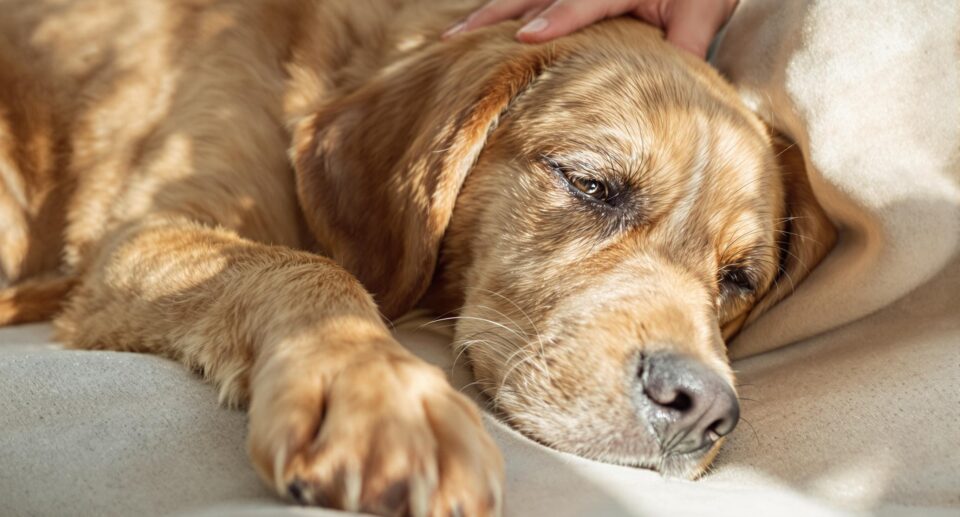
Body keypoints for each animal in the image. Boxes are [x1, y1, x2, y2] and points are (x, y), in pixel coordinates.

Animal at [0, 0, 832, 512]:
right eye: (592, 184)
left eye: (738, 278)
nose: (703, 406)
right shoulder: (145, 232)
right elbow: (310, 268)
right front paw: (378, 390)